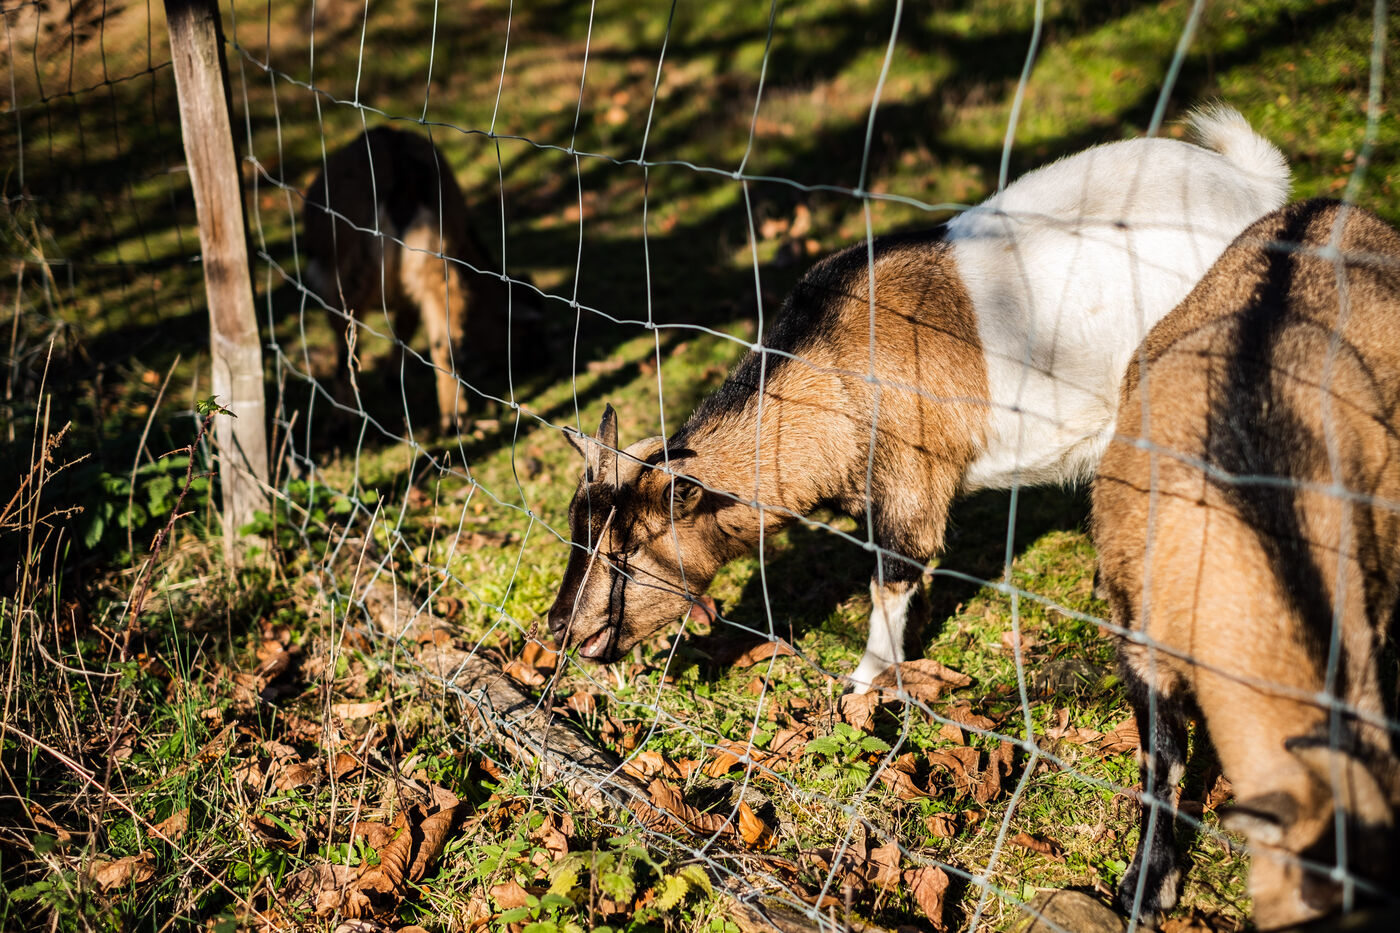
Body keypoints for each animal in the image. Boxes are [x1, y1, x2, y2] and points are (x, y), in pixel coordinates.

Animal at [304, 125, 523, 434]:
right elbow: (406, 329)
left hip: (351, 270)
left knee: (346, 336)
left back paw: (342, 418)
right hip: (435, 262)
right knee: (445, 336)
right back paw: (453, 418)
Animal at [548, 106, 1290, 692]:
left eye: (626, 549)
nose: (557, 626)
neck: (833, 369)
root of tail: (1255, 184)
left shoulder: (911, 484)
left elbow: (894, 574)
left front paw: (864, 684)